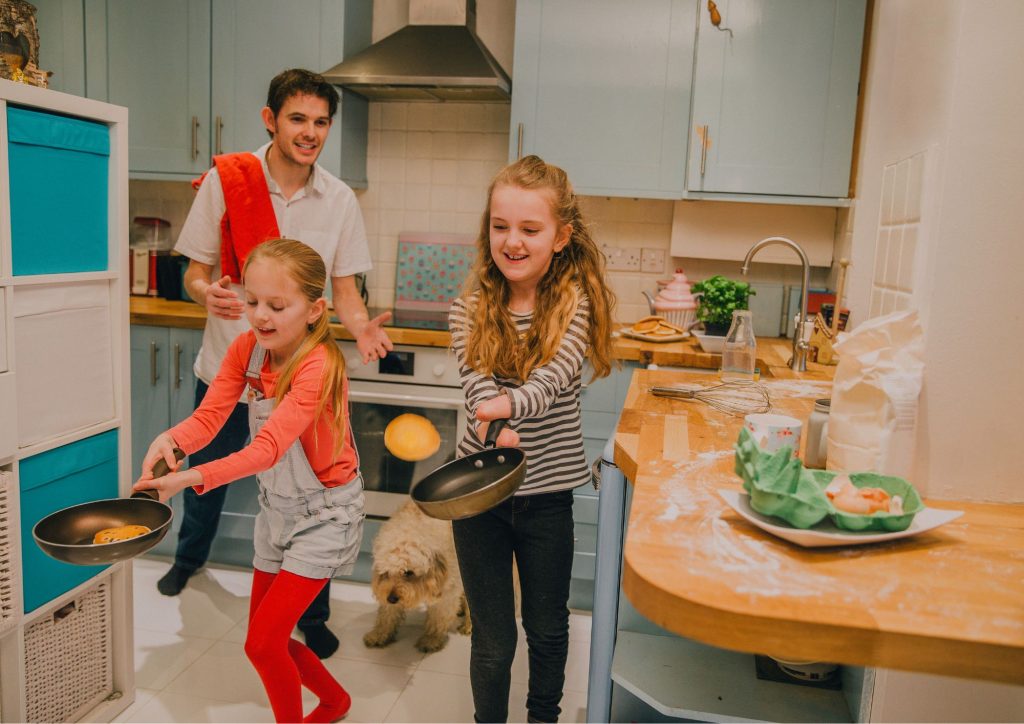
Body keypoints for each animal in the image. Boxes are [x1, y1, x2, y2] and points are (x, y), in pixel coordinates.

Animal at [362, 503, 468, 651]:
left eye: (408, 572)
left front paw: (431, 640)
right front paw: (379, 634)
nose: (392, 598)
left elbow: (438, 617)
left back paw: (468, 625)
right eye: (386, 572)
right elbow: (386, 614)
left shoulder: (448, 592)